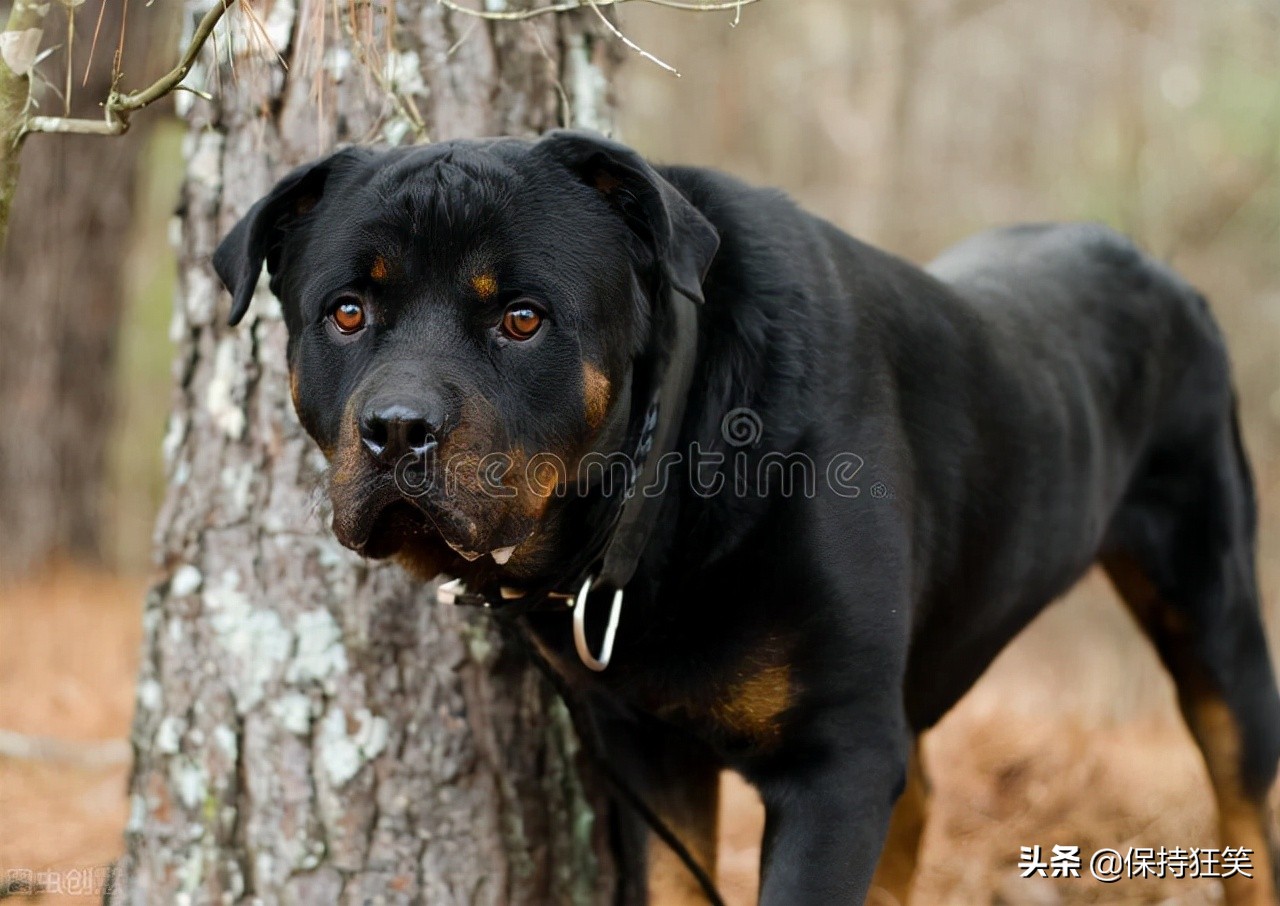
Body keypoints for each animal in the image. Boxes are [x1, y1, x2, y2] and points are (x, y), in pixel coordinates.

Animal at [215, 131, 1274, 900]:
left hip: (1215, 611)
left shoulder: (836, 761)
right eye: (347, 312)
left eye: (522, 318)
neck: (665, 485)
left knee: (1244, 801)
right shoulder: (649, 753)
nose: (397, 428)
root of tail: (1162, 271)